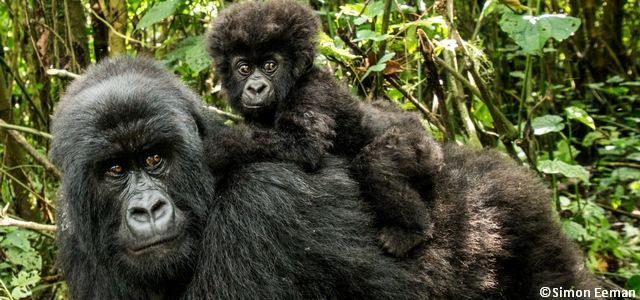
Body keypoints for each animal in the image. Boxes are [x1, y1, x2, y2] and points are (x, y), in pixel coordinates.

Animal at [208, 0, 442, 256]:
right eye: (244, 68)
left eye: (270, 65)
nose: (256, 88)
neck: (294, 81)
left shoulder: (312, 90)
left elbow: (305, 143)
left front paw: (216, 146)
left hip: (422, 148)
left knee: (376, 163)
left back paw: (412, 230)